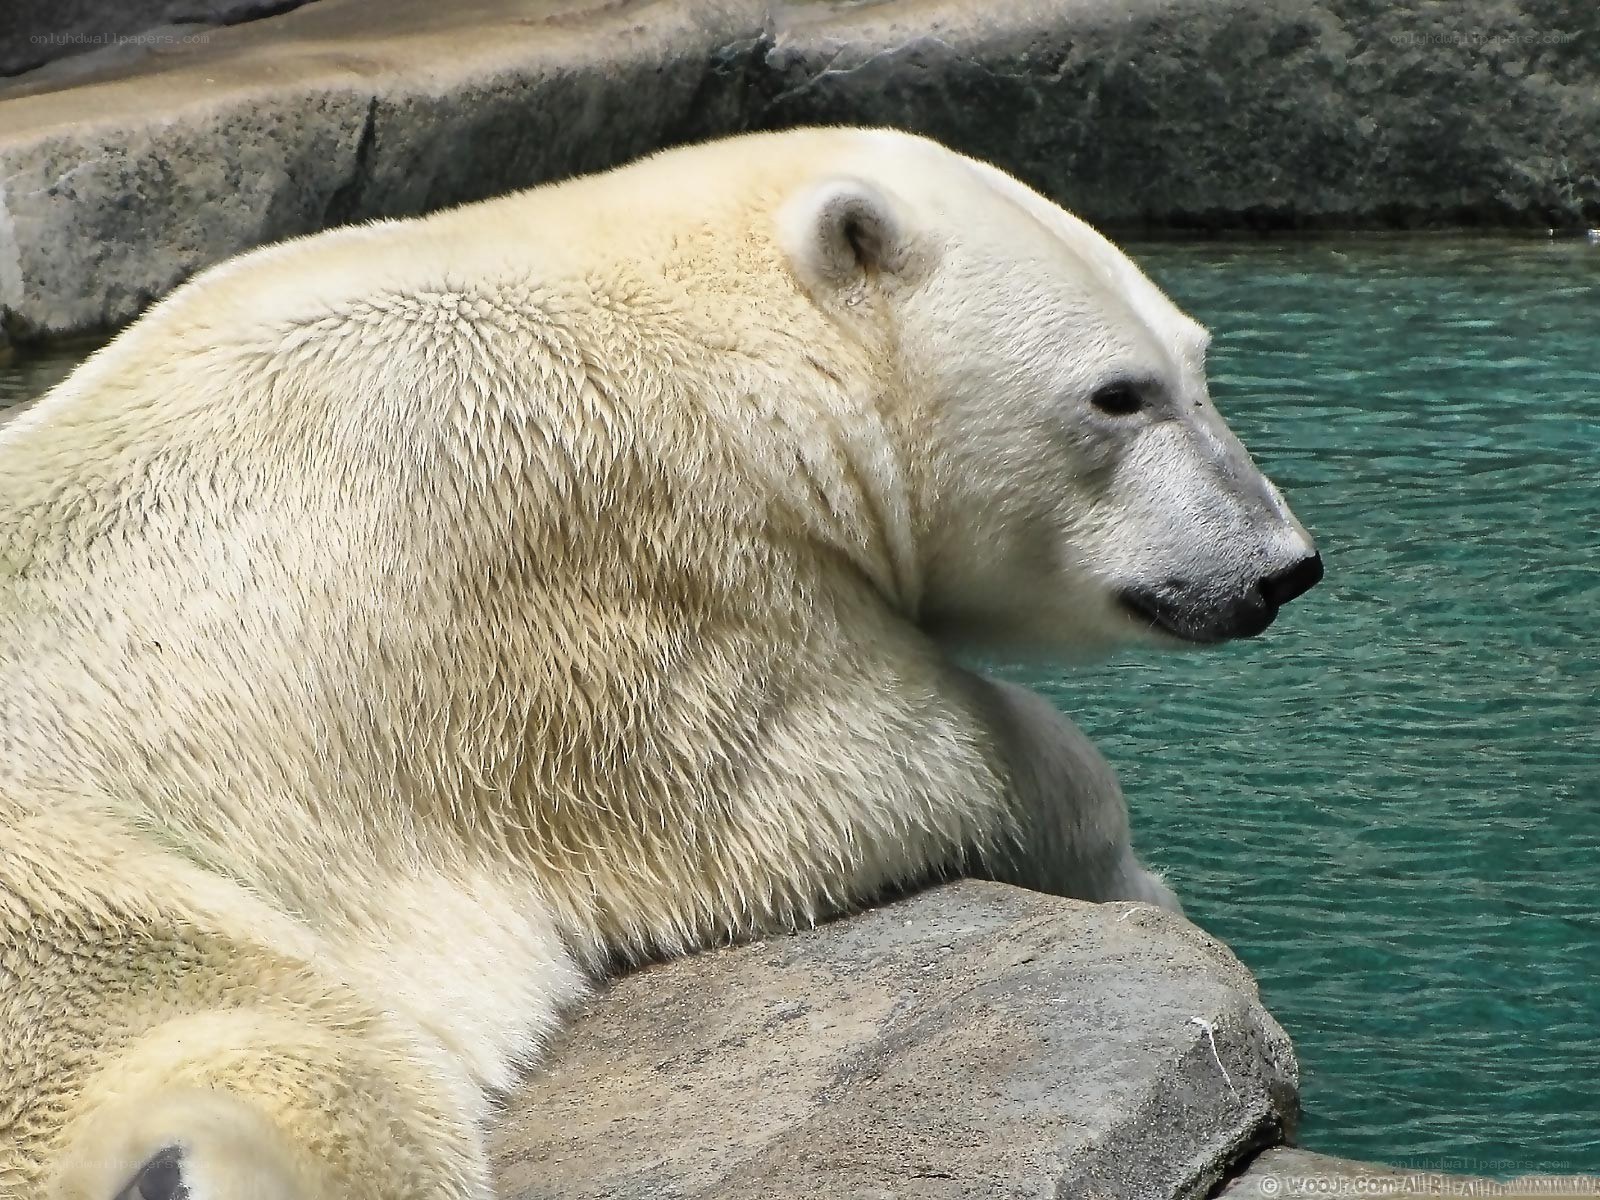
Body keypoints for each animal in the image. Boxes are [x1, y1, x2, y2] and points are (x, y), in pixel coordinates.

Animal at [0, 127, 1321, 1200]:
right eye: (1117, 396)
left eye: (1196, 365)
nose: (1282, 567)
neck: (705, 337)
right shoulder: (626, 558)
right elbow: (852, 764)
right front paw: (1144, 888)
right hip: (101, 879)